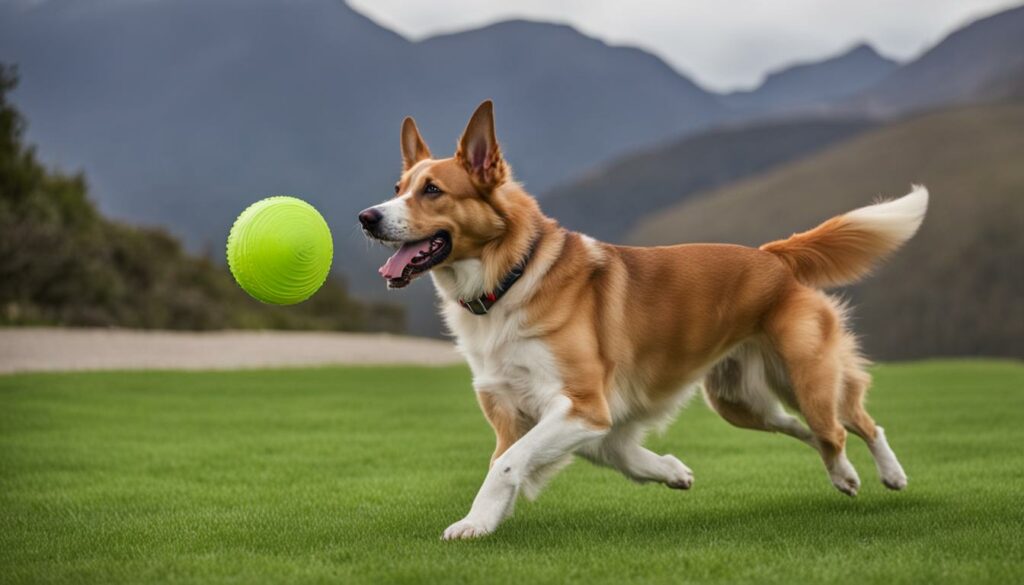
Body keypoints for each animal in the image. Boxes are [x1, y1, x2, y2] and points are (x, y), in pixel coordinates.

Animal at [362, 99, 929, 540]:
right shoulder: (536, 413)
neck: (512, 277)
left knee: (849, 424)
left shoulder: (583, 407)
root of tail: (774, 256)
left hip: (805, 378)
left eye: (432, 190)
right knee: (815, 431)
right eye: (398, 186)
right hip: (741, 402)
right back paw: (847, 475)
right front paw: (671, 471)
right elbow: (591, 456)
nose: (367, 217)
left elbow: (506, 465)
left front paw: (474, 524)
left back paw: (885, 476)